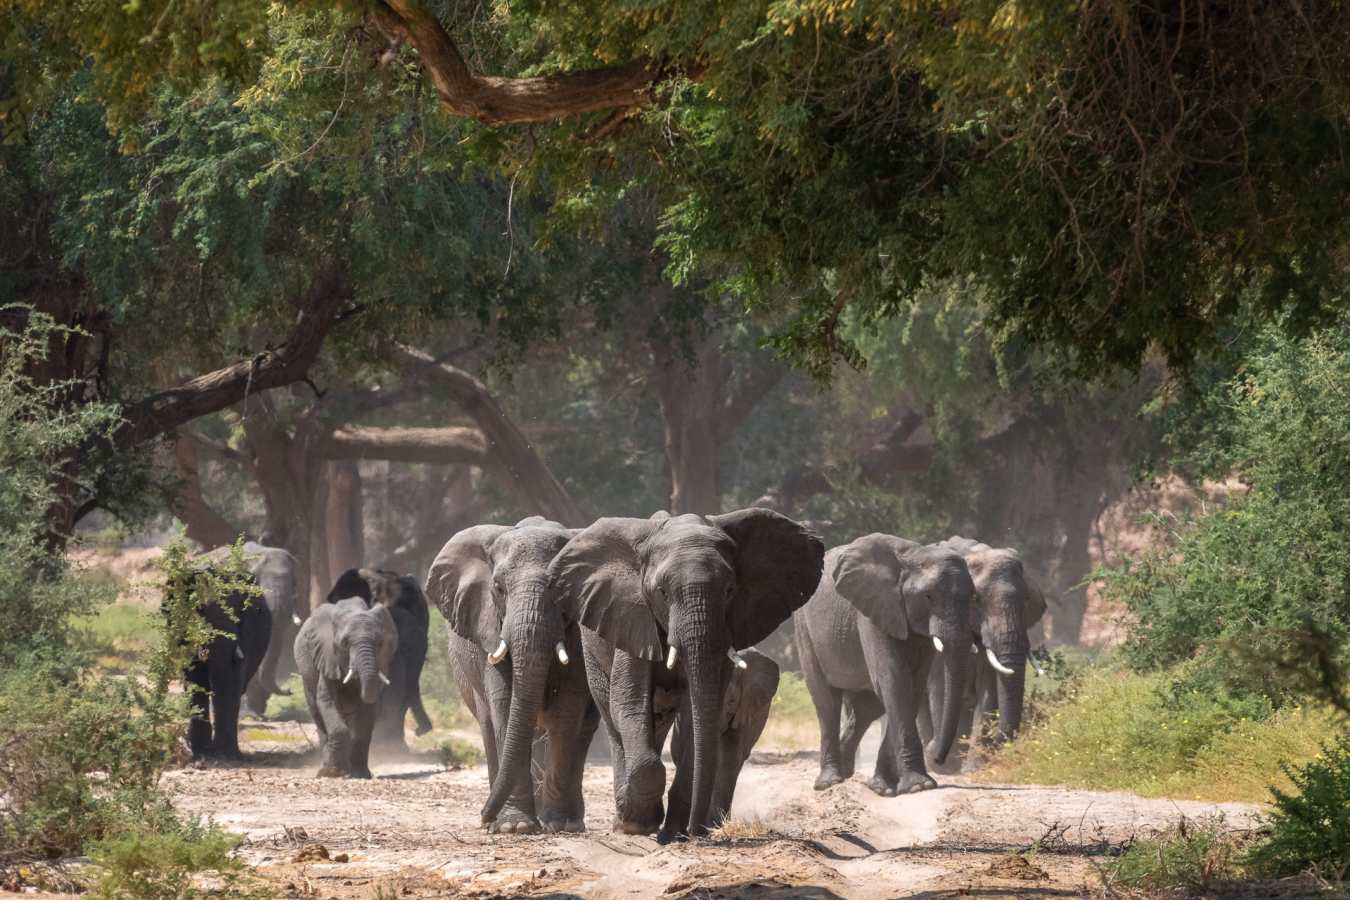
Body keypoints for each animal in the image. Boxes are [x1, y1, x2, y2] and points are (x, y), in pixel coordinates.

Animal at [294, 596, 398, 777]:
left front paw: (360, 775)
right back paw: (328, 768)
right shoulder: (327, 656)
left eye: (380, 643)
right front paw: (332, 773)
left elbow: (367, 712)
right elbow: (326, 700)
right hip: (307, 678)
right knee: (317, 714)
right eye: (344, 643)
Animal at [425, 516, 599, 834]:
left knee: (582, 730)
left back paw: (570, 821)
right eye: (498, 587)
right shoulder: (489, 627)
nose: (482, 815)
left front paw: (556, 824)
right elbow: (505, 705)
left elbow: (566, 710)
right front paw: (514, 827)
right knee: (488, 726)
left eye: (560, 590)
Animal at [548, 508, 824, 839]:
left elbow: (699, 716)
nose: (696, 830)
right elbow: (629, 704)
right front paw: (639, 823)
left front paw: (674, 830)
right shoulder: (633, 617)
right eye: (662, 592)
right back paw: (624, 819)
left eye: (730, 590)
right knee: (615, 721)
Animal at [793, 534, 974, 796]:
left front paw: (884, 787)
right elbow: (895, 681)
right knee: (826, 700)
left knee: (867, 708)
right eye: (928, 596)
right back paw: (829, 782)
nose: (938, 759)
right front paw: (919, 786)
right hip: (804, 629)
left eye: (973, 598)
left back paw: (849, 771)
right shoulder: (873, 610)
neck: (915, 555)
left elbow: (912, 687)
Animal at [918, 536, 1047, 768]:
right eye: (975, 600)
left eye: (1026, 601)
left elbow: (988, 689)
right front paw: (941, 764)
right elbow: (939, 686)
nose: (999, 745)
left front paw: (974, 767)